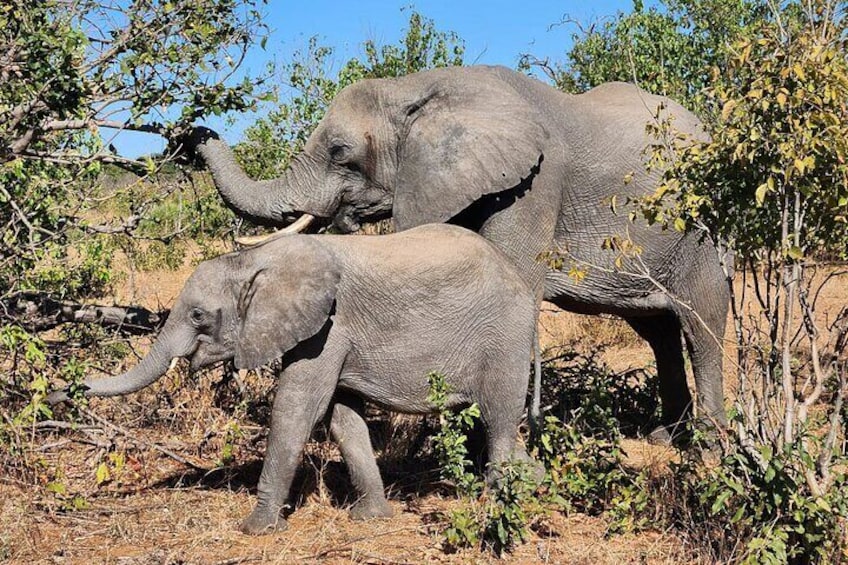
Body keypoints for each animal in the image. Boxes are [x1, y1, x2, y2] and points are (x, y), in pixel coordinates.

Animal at [49, 224, 537, 534]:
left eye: (198, 315)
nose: (61, 390)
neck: (254, 260)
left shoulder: (328, 327)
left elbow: (298, 406)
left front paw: (256, 529)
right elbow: (342, 417)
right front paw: (371, 520)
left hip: (504, 337)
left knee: (498, 419)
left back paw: (496, 506)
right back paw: (533, 488)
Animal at [180, 65, 730, 439]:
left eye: (340, 153)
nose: (190, 134)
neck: (417, 87)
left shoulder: (536, 180)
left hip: (701, 228)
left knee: (702, 321)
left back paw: (709, 447)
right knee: (658, 330)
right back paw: (666, 437)